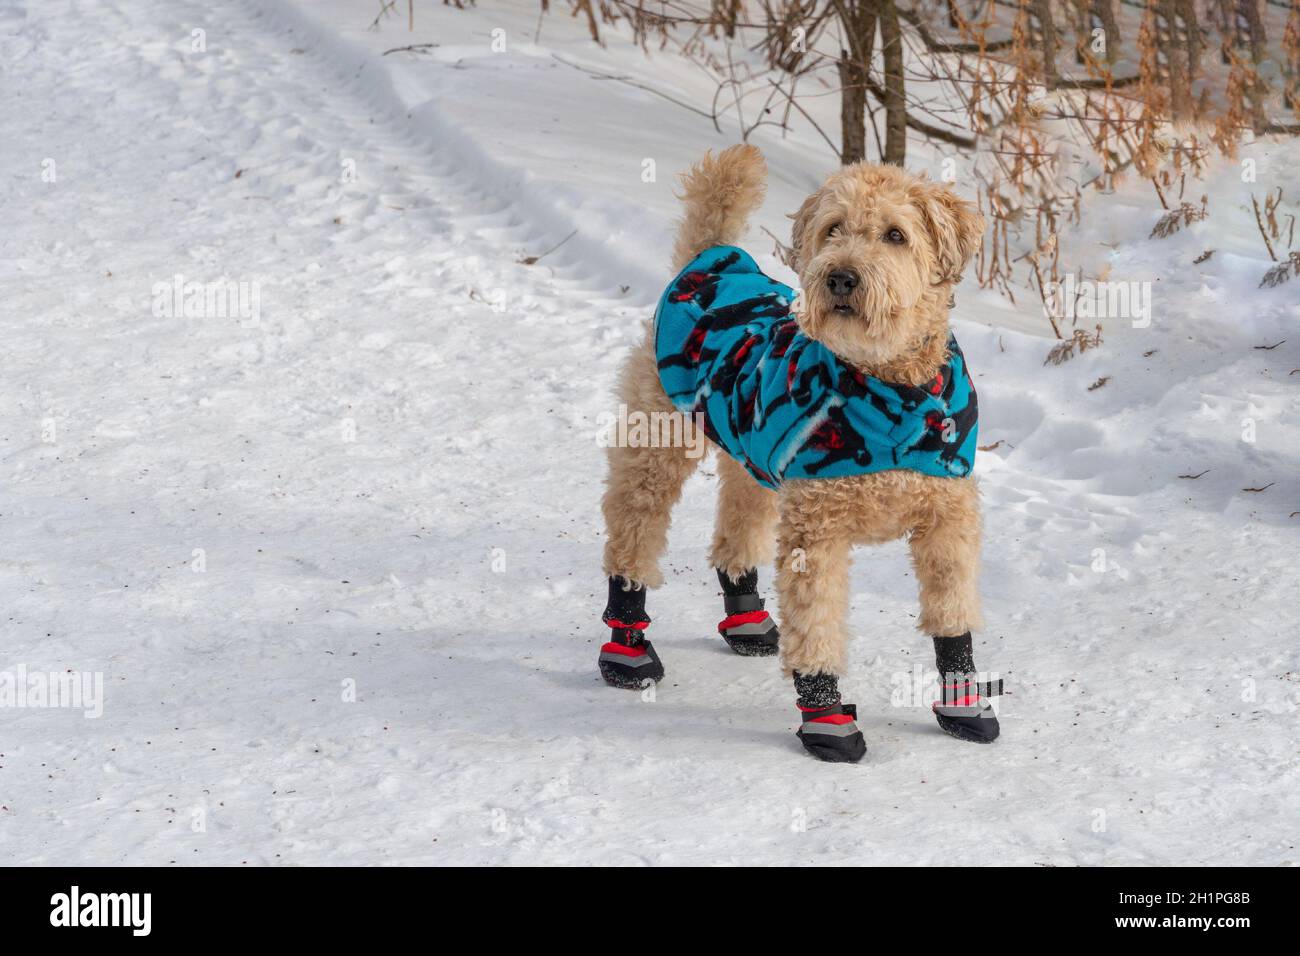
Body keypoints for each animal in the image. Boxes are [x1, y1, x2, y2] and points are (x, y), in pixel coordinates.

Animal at [598, 147, 1003, 764]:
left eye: (895, 234)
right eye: (833, 228)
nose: (840, 276)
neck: (889, 389)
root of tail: (711, 259)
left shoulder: (947, 518)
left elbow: (952, 614)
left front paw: (963, 704)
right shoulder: (818, 533)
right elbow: (816, 626)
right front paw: (827, 720)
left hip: (754, 463)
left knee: (735, 532)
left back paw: (746, 617)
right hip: (656, 448)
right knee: (633, 533)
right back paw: (627, 647)